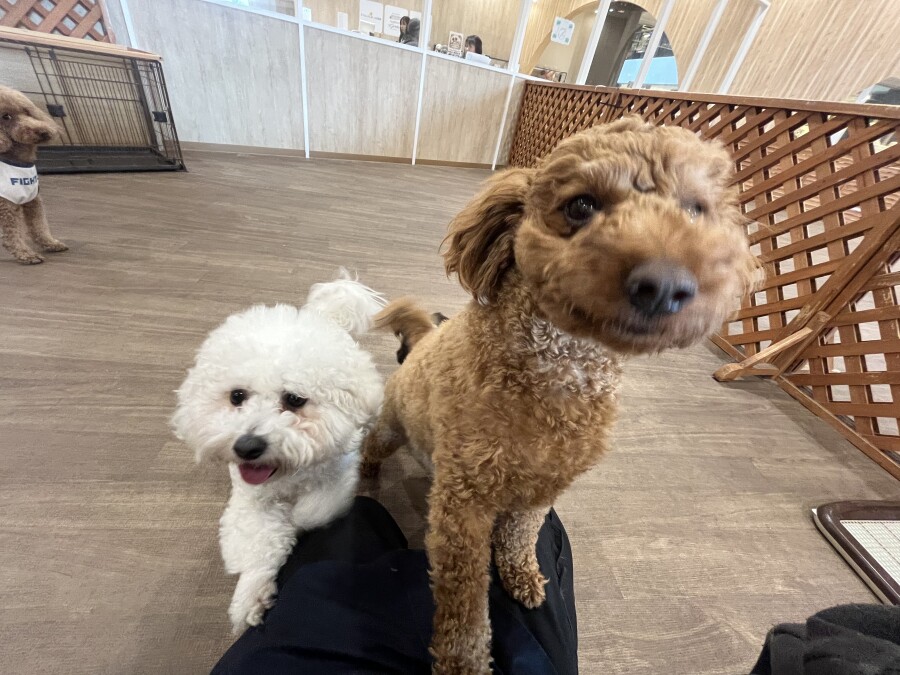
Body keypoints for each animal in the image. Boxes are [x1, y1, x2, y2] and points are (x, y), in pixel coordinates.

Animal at [0, 86, 66, 264]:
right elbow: (12, 234)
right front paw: (26, 254)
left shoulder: (33, 200)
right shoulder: (6, 206)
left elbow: (39, 225)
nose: (43, 131)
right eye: (6, 116)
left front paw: (50, 243)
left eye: (27, 110)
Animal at [172, 273, 386, 633]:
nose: (246, 447)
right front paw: (250, 598)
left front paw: (297, 520)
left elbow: (315, 508)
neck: (286, 473)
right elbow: (259, 542)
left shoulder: (339, 473)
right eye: (237, 396)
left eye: (295, 400)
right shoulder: (250, 501)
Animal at [362, 117, 758, 674]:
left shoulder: (542, 488)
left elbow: (520, 535)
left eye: (693, 209)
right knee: (373, 445)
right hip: (394, 426)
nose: (665, 286)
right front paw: (464, 660)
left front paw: (523, 575)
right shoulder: (464, 506)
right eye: (581, 206)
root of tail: (420, 343)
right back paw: (365, 478)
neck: (559, 367)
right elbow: (465, 602)